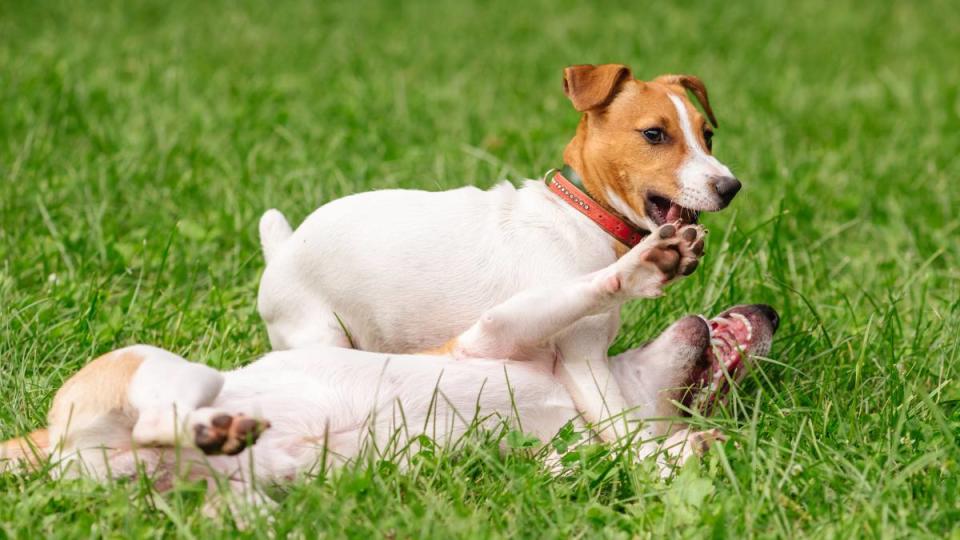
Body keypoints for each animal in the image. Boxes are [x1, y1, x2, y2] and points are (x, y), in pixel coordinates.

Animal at [0, 221, 780, 508]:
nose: (770, 313)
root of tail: (47, 445)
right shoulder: (495, 332)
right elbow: (588, 286)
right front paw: (646, 265)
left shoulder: (553, 458)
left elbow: (606, 461)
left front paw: (684, 454)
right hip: (174, 372)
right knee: (165, 415)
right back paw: (212, 427)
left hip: (232, 501)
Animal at [255, 63, 744, 438]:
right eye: (654, 134)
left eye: (708, 136)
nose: (731, 187)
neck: (582, 215)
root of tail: (281, 250)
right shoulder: (581, 358)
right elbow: (618, 424)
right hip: (319, 332)